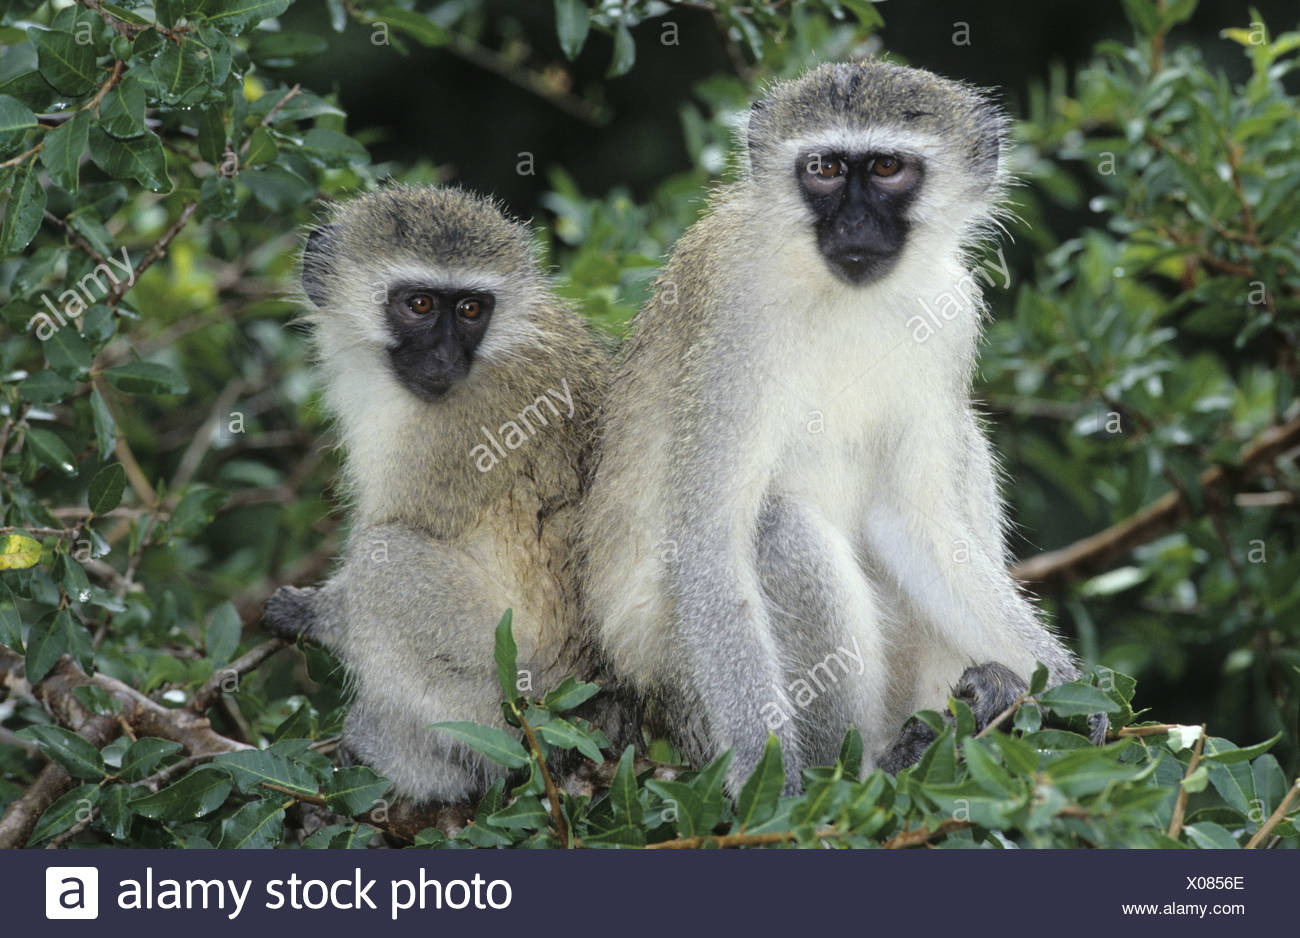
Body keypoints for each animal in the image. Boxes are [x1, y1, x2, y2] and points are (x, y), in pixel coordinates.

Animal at [263, 186, 635, 804]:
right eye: (418, 305)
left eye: (470, 310)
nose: (443, 360)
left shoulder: (452, 439)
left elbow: (384, 543)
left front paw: (311, 613)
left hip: (510, 688)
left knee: (385, 564)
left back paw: (412, 767)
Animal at [579, 60, 1104, 795]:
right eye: (824, 168)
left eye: (886, 167)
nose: (854, 221)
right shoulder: (733, 315)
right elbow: (708, 539)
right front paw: (767, 783)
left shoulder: (952, 313)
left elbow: (910, 517)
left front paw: (1065, 684)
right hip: (689, 698)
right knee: (779, 530)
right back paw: (860, 770)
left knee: (962, 441)